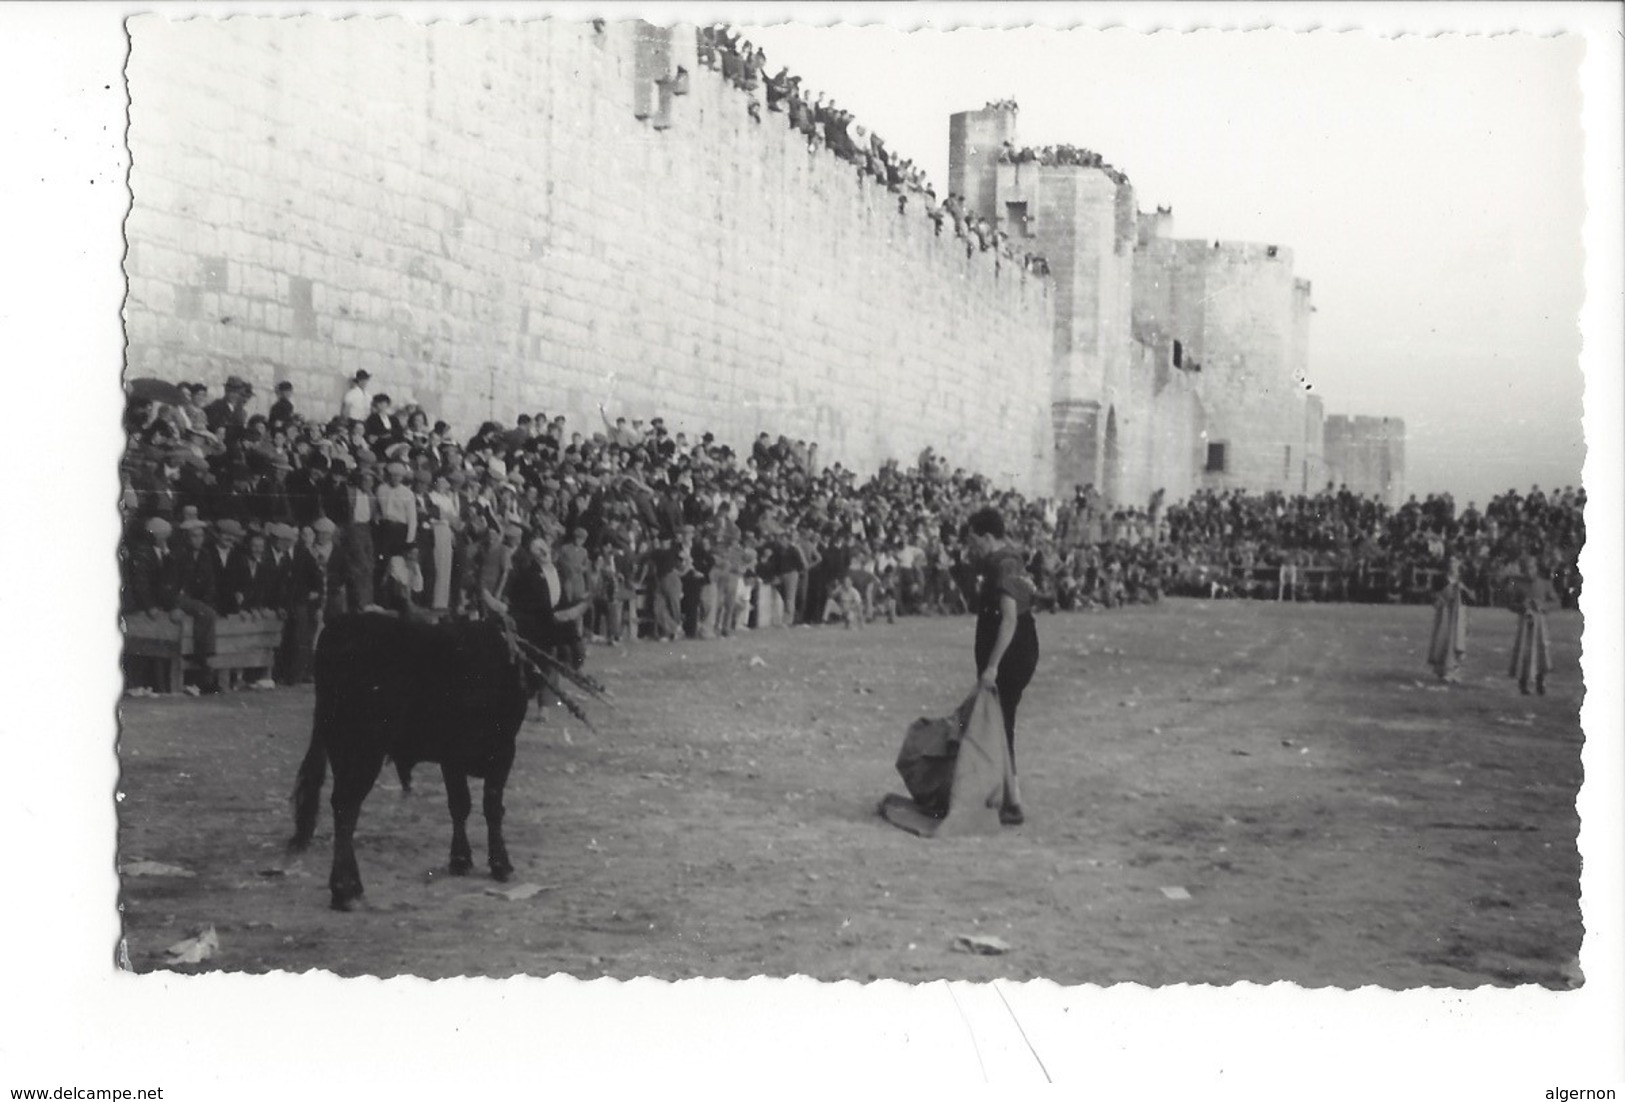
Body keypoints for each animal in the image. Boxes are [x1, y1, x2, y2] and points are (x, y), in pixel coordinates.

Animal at [290, 617, 533, 910]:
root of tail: (342, 627)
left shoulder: (452, 756)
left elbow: (459, 805)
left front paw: (460, 860)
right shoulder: (504, 747)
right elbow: (492, 807)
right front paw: (500, 864)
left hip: (339, 747)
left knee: (340, 806)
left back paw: (350, 886)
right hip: (364, 748)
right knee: (347, 808)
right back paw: (344, 889)